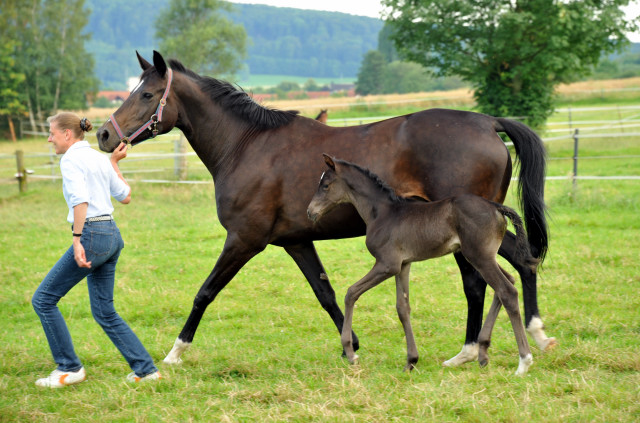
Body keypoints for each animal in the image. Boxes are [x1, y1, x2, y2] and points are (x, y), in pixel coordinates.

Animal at [308, 156, 536, 378]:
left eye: (326, 185)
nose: (310, 212)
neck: (382, 213)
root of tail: (496, 207)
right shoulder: (403, 265)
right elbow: (402, 307)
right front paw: (411, 361)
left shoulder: (387, 265)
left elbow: (351, 292)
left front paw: (350, 353)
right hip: (484, 256)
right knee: (508, 282)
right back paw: (482, 352)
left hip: (478, 256)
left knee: (507, 290)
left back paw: (523, 362)